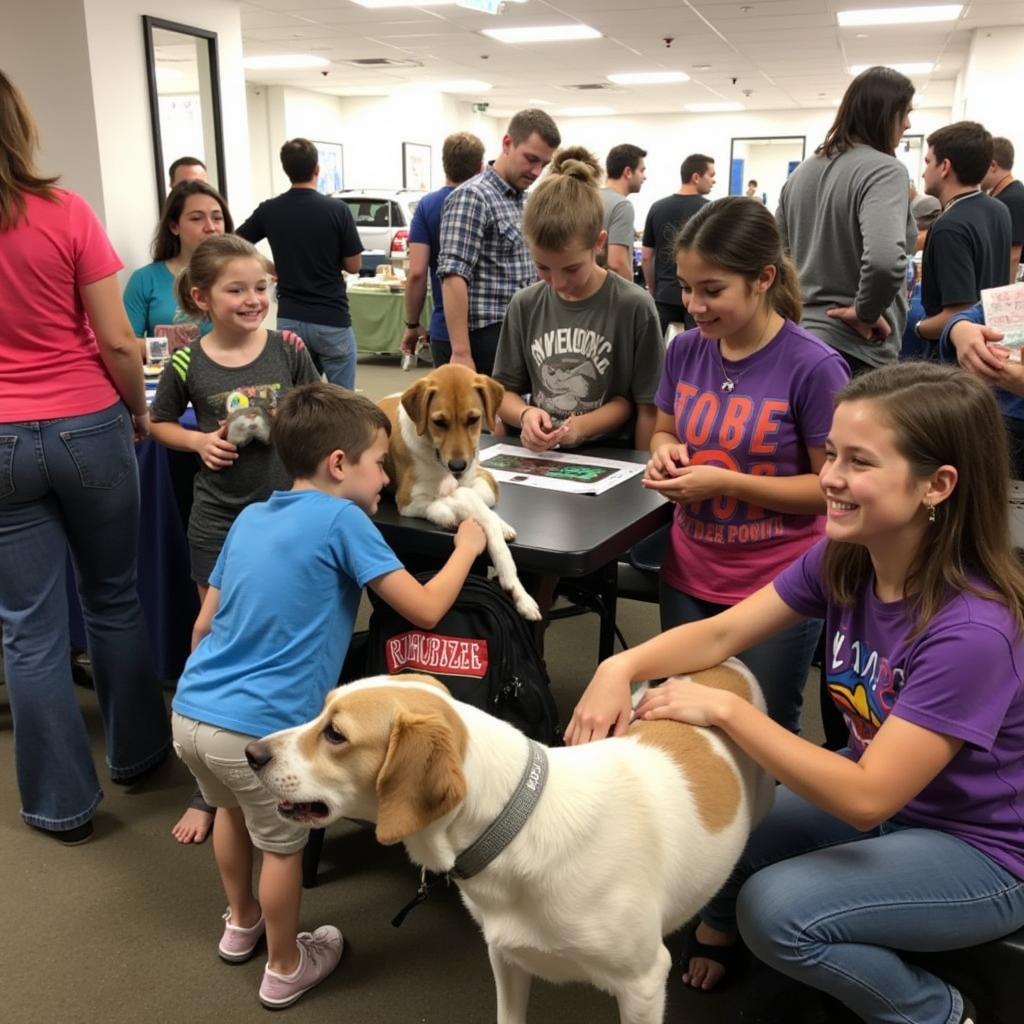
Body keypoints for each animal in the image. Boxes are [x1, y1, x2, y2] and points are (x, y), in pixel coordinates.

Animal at [249, 667, 774, 1019]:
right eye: (322, 710)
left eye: (336, 734)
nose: (252, 752)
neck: (515, 829)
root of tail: (726, 666)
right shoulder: (506, 958)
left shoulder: (643, 984)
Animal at [378, 364, 544, 618]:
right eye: (439, 422)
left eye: (473, 419)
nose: (457, 466)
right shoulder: (407, 500)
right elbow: (461, 498)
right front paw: (448, 513)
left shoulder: (484, 478)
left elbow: (478, 500)